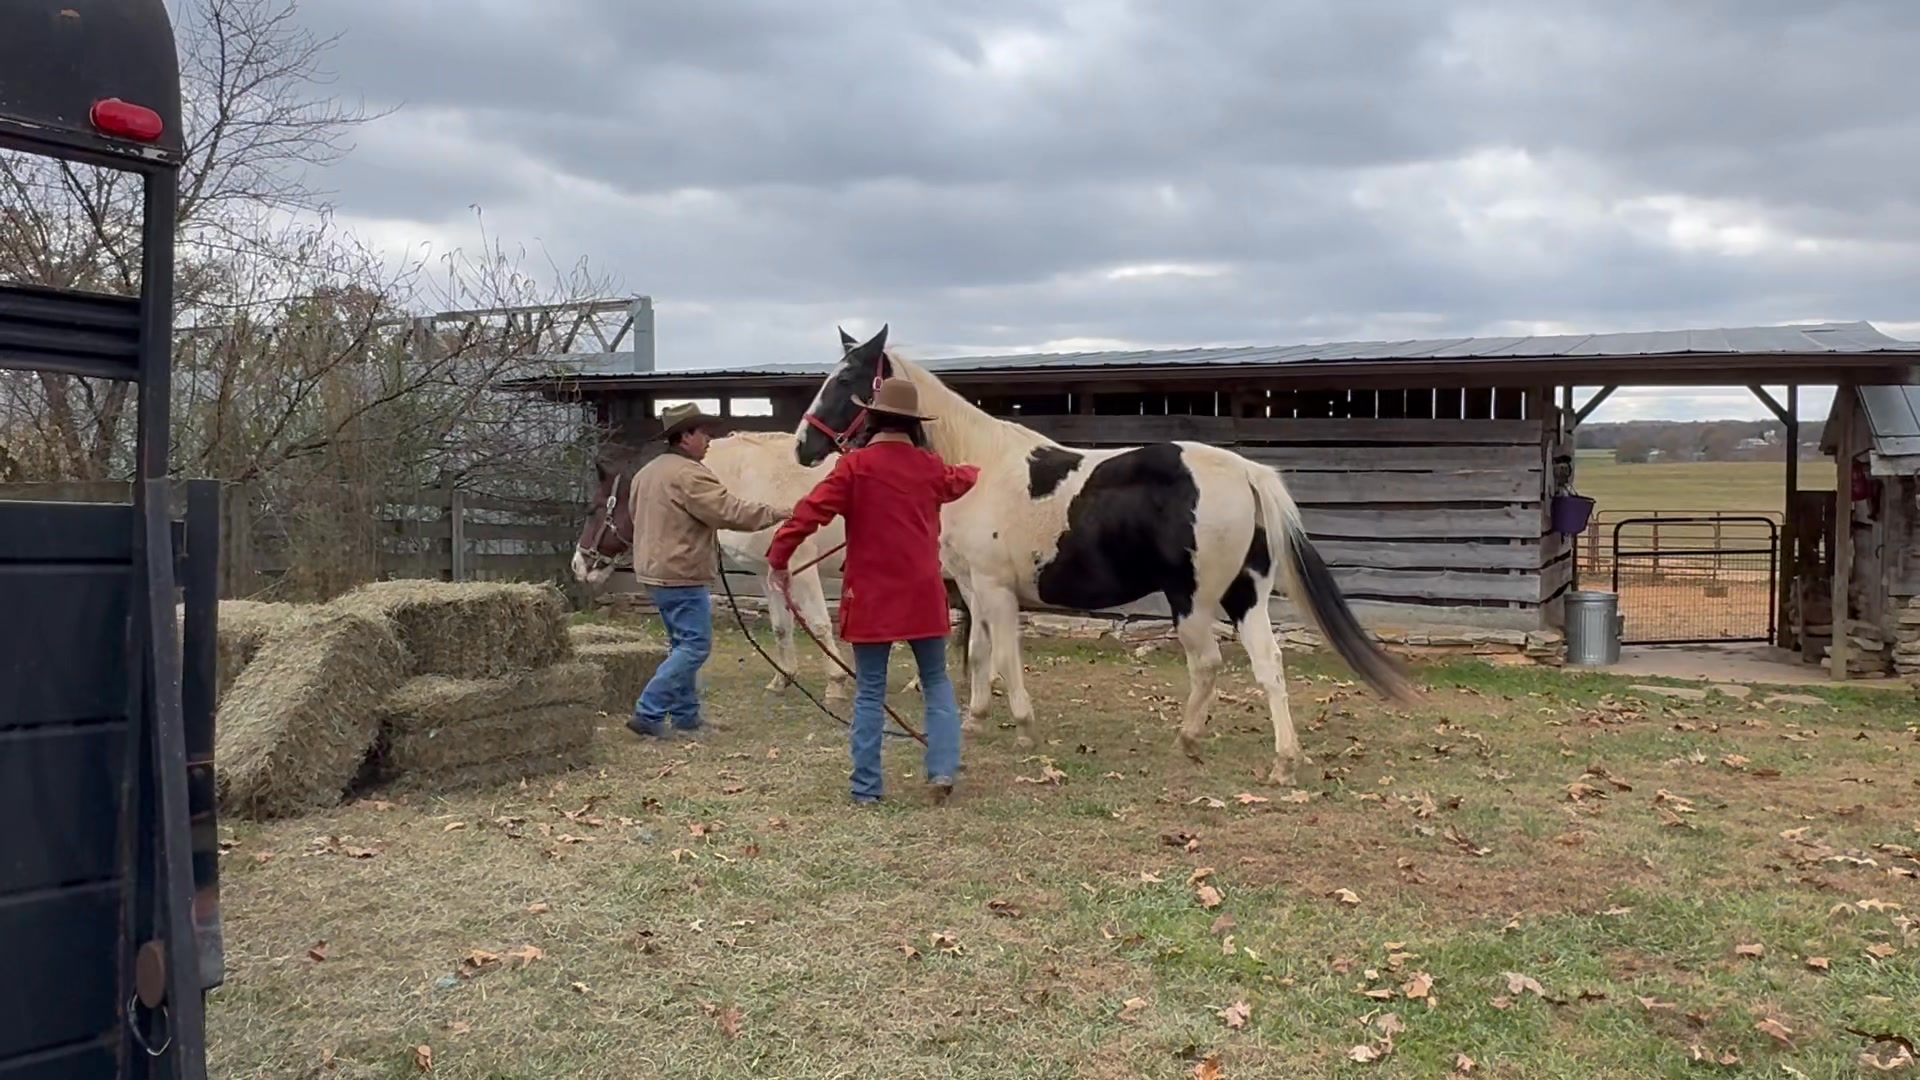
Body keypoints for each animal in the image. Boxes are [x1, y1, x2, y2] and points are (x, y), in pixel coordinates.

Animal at [795, 325, 1418, 786]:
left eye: (848, 379)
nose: (804, 446)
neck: (981, 467)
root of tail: (1245, 471)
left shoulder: (994, 591)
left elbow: (1006, 658)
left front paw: (1025, 727)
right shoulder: (972, 589)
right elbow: (976, 654)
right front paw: (976, 721)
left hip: (1193, 602)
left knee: (1208, 664)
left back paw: (1189, 741)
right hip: (1245, 598)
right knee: (1269, 665)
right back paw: (1282, 762)